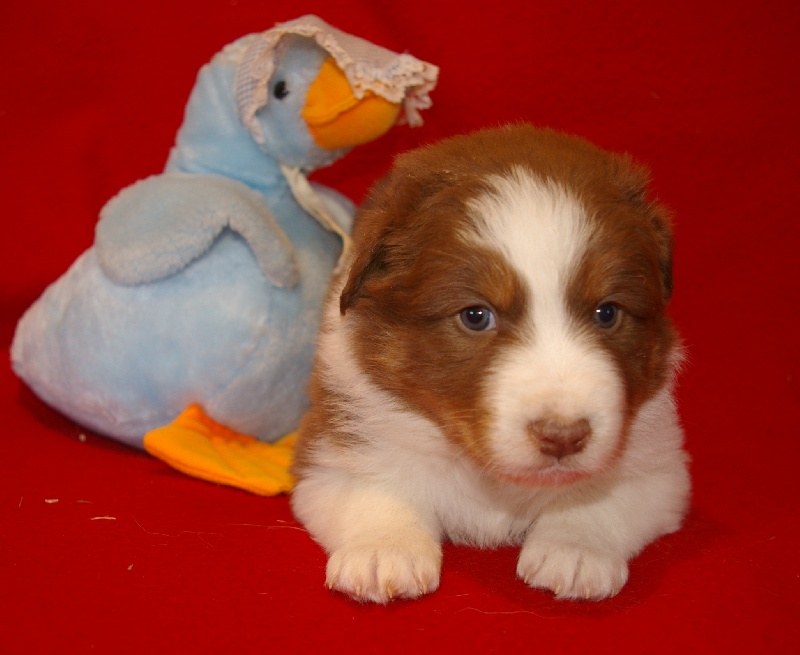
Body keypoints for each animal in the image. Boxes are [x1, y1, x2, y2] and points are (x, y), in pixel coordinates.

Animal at [290, 124, 690, 603]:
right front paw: (383, 550)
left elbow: (603, 498)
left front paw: (575, 549)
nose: (563, 437)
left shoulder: (659, 465)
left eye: (607, 312)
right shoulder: (331, 450)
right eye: (476, 315)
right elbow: (375, 485)